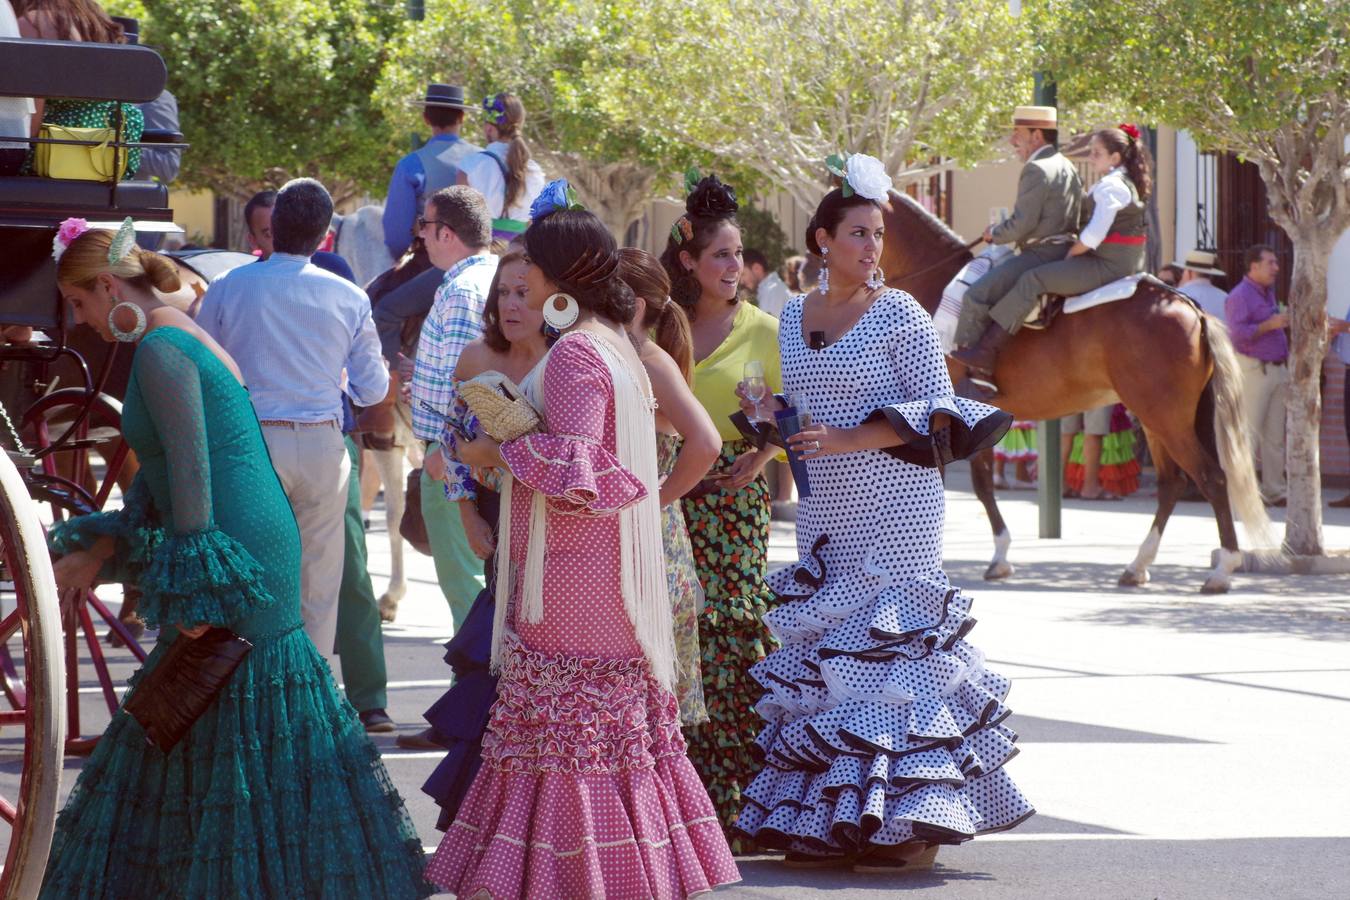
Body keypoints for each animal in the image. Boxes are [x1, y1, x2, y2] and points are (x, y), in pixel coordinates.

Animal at [880, 191, 1269, 591]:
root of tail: (1189, 307)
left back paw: (1222, 569)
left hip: (1166, 419)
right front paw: (999, 558)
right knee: (1172, 483)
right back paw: (1138, 565)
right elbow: (983, 484)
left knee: (1211, 478)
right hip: (1157, 419)